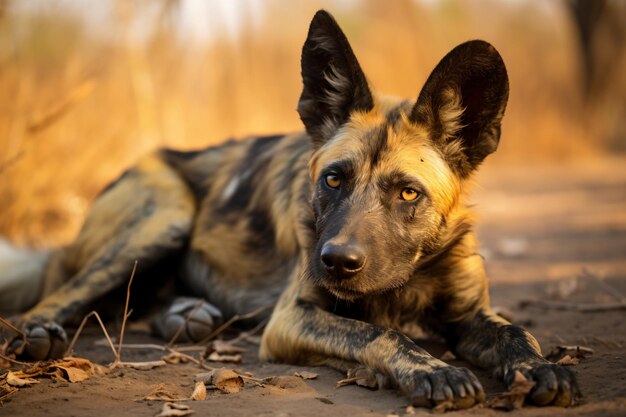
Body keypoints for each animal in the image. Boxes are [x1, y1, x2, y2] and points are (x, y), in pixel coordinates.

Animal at [0, 10, 580, 410]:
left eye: (408, 194)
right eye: (333, 179)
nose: (338, 261)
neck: (406, 281)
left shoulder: (470, 314)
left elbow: (517, 334)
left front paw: (541, 368)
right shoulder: (293, 317)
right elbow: (380, 333)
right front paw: (430, 368)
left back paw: (185, 314)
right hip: (165, 218)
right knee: (55, 299)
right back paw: (36, 336)